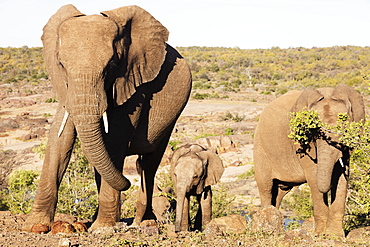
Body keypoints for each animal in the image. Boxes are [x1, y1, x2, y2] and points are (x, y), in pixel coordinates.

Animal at [23, 4, 192, 232]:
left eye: (111, 65)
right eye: (61, 65)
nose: (127, 182)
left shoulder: (134, 82)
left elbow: (115, 139)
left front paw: (102, 228)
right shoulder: (66, 88)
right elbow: (59, 140)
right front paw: (35, 225)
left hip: (172, 118)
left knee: (149, 164)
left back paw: (144, 221)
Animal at [254, 84, 364, 236]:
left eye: (344, 128)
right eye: (313, 130)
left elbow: (342, 178)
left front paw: (334, 236)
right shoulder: (301, 143)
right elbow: (313, 176)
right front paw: (319, 235)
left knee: (280, 192)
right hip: (261, 150)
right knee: (266, 188)